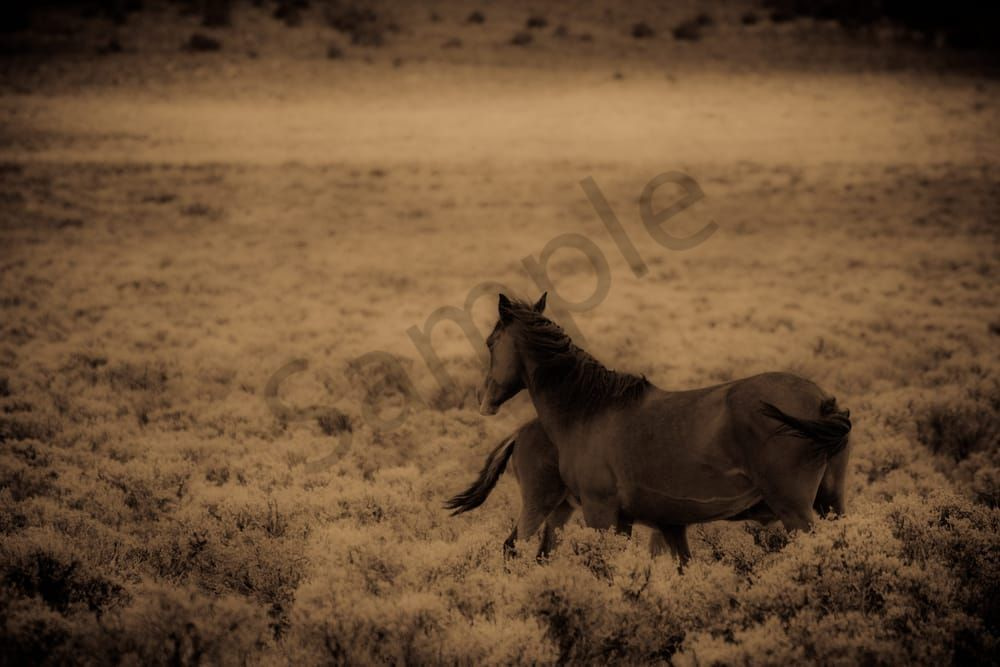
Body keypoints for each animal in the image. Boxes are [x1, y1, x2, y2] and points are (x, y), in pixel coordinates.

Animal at [470, 292, 851, 567]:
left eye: (490, 342)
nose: (484, 400)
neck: (587, 410)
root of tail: (823, 402)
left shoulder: (600, 515)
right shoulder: (640, 523)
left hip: (796, 512)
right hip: (830, 503)